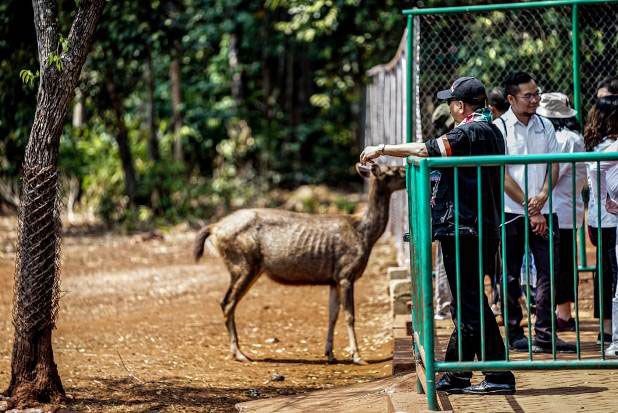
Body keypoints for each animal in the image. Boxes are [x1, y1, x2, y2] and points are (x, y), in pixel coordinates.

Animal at [192, 162, 404, 364]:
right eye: (394, 170)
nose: (404, 167)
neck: (364, 234)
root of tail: (214, 228)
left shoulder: (333, 279)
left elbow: (332, 315)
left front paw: (330, 354)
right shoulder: (346, 273)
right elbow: (350, 316)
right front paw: (357, 356)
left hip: (248, 267)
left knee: (228, 302)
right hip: (242, 263)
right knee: (227, 302)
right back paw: (239, 353)